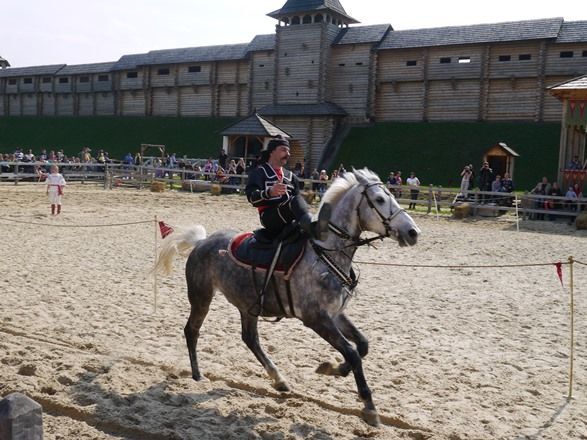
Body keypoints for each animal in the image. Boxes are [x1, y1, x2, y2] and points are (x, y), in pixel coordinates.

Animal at [154, 168, 420, 426]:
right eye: (379, 199)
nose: (413, 232)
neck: (325, 254)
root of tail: (201, 242)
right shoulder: (316, 319)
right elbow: (353, 353)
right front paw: (369, 407)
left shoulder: (335, 314)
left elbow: (362, 346)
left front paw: (332, 368)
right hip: (201, 297)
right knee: (192, 331)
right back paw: (197, 375)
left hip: (247, 305)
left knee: (250, 339)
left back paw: (279, 379)